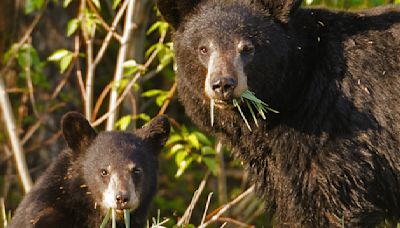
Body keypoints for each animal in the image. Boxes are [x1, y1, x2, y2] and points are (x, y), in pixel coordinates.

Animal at [156, 0, 400, 226]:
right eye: (203, 48)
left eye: (247, 48)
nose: (223, 84)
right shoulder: (276, 166)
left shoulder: (333, 132)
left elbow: (330, 205)